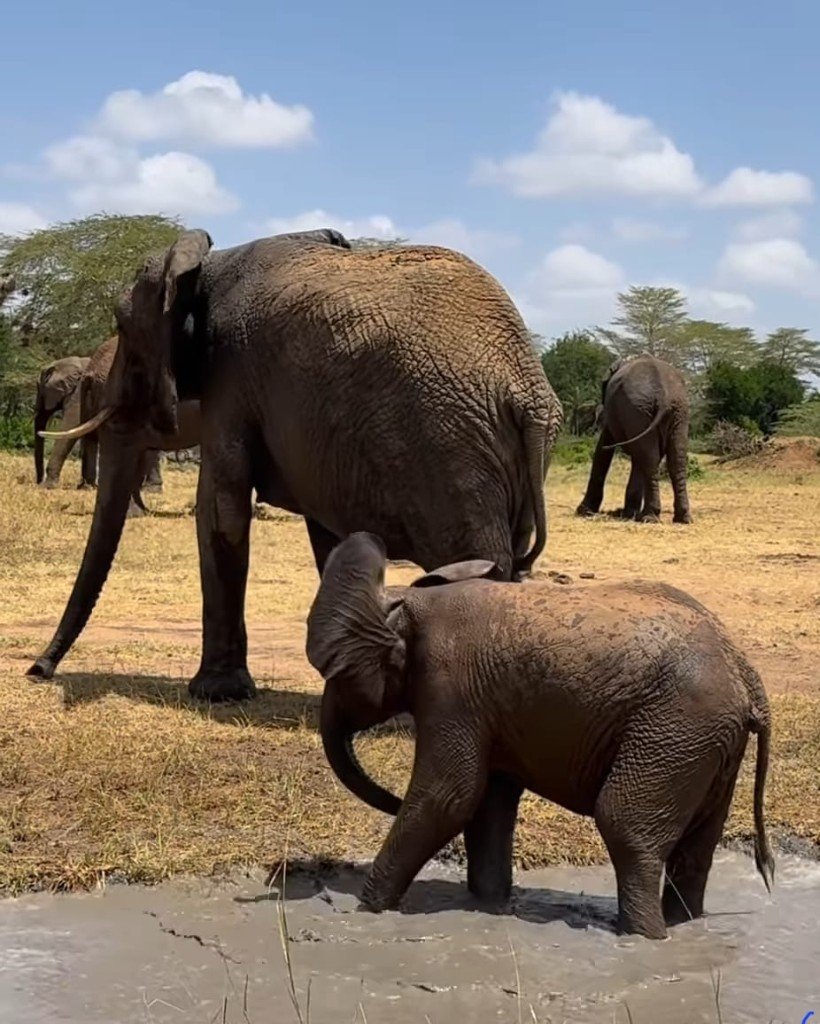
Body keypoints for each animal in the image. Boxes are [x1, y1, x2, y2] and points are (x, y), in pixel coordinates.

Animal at [33, 356, 91, 486]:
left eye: (39, 388)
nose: (38, 482)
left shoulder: (79, 392)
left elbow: (71, 424)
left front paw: (48, 486)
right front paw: (84, 486)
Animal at [305, 532, 775, 940]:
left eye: (340, 674)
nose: (390, 800)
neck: (414, 604)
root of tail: (745, 671)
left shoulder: (450, 688)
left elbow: (448, 797)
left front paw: (364, 912)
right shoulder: (484, 704)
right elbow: (488, 802)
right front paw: (488, 906)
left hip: (675, 729)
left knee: (625, 825)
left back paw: (645, 938)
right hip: (707, 741)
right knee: (697, 847)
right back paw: (684, 927)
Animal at [576, 354, 692, 524]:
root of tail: (663, 396)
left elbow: (603, 448)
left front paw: (584, 512)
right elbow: (640, 457)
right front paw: (629, 513)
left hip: (638, 409)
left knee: (650, 459)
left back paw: (649, 517)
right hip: (676, 411)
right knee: (674, 459)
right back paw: (682, 518)